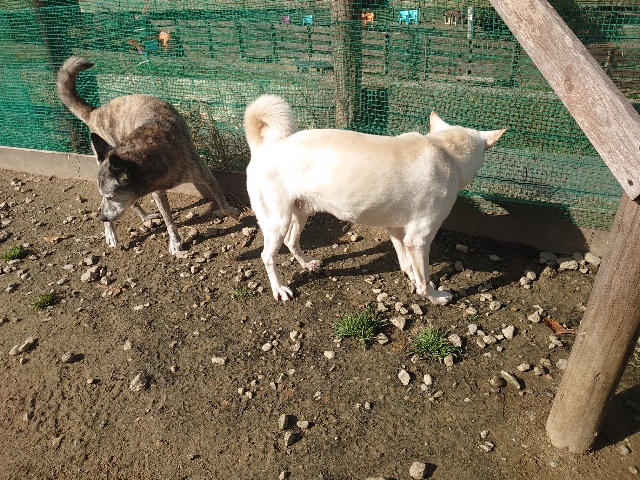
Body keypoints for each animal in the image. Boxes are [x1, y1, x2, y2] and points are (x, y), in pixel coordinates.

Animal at [56, 56, 238, 254]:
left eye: (111, 197)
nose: (102, 218)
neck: (151, 154)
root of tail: (94, 112)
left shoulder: (204, 174)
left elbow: (222, 201)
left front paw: (229, 212)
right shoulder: (158, 193)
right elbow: (169, 220)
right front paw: (175, 242)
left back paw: (142, 218)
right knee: (130, 203)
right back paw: (111, 233)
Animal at [243, 94, 505, 303]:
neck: (444, 149)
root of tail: (264, 147)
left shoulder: (397, 229)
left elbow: (406, 262)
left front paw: (410, 275)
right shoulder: (419, 239)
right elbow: (424, 278)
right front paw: (435, 296)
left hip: (300, 212)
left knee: (291, 241)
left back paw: (307, 264)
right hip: (276, 221)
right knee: (267, 256)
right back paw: (279, 288)